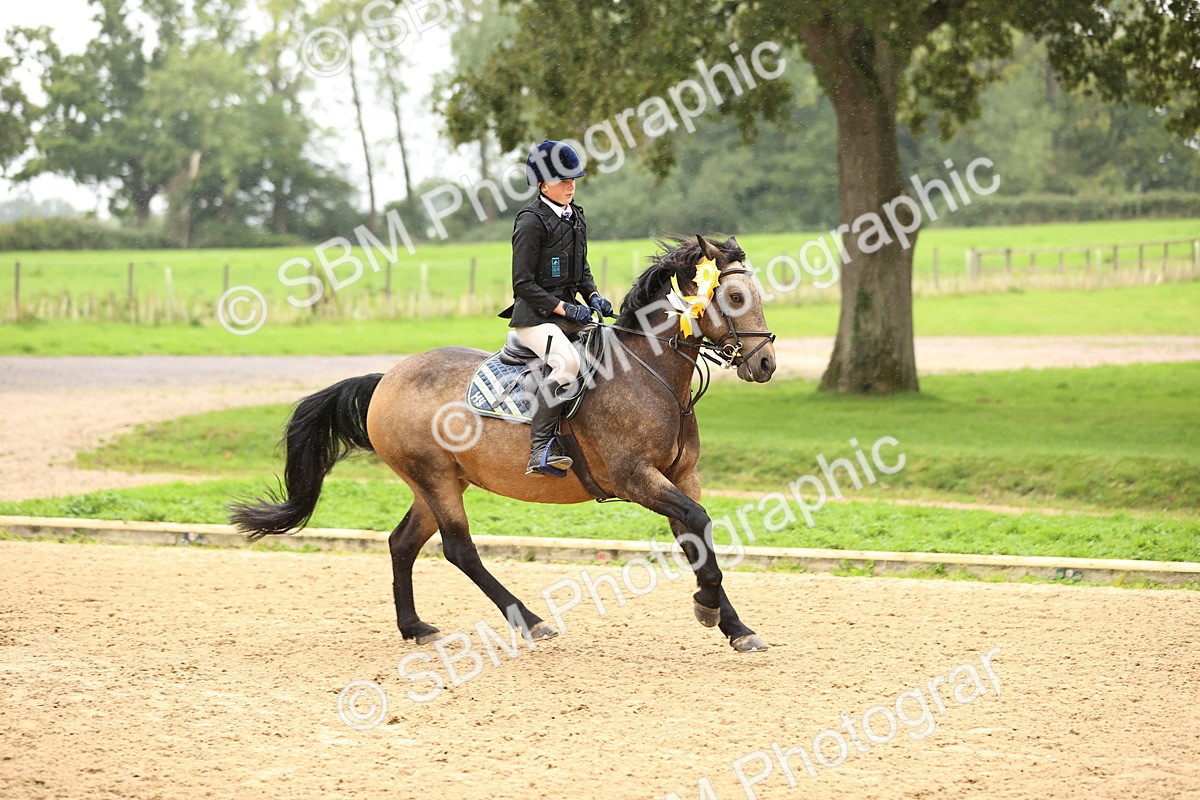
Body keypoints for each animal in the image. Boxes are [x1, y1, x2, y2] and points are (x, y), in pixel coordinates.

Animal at [229, 234, 777, 652]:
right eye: (733, 298)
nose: (766, 363)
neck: (652, 373)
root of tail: (387, 379)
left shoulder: (681, 477)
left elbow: (698, 537)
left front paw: (733, 626)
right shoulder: (637, 479)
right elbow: (699, 525)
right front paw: (709, 609)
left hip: (438, 482)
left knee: (402, 543)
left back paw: (415, 628)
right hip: (434, 478)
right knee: (459, 550)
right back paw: (529, 621)